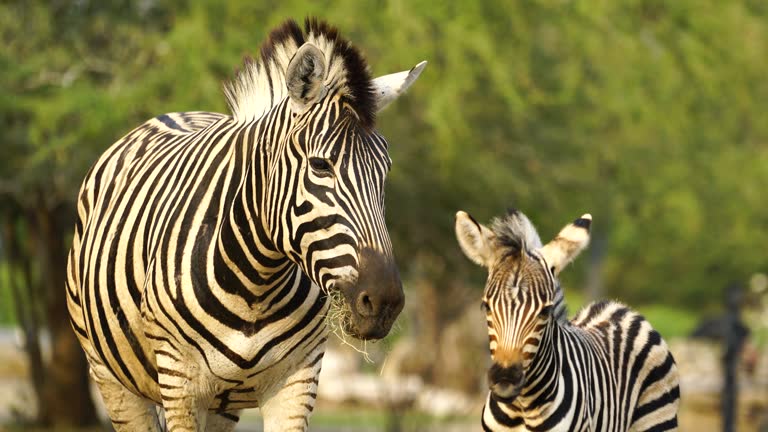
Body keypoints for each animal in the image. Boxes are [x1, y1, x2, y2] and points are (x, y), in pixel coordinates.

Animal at [64, 18, 426, 430]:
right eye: (321, 165)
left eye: (385, 172)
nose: (383, 302)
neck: (256, 283)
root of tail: (174, 114)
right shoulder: (180, 381)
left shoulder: (299, 378)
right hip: (110, 377)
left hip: (224, 405)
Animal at [456, 208, 680, 430]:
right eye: (486, 306)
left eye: (545, 311)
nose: (505, 380)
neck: (522, 407)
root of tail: (621, 309)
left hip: (657, 419)